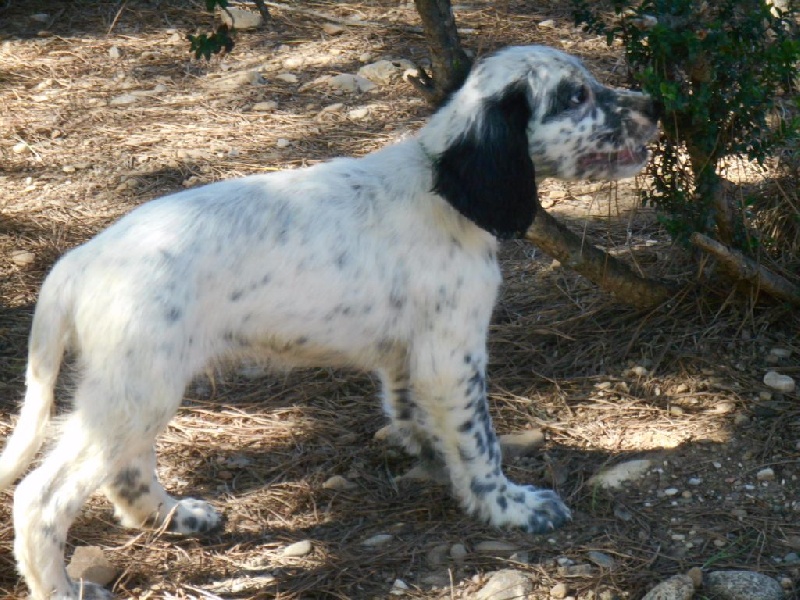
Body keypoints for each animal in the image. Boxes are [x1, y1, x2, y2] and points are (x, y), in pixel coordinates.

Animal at [0, 45, 659, 599]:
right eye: (575, 96)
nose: (654, 108)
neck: (443, 189)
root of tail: (80, 260)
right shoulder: (452, 357)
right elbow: (481, 445)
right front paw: (510, 506)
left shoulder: (408, 358)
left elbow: (413, 414)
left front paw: (426, 457)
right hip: (136, 388)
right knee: (41, 497)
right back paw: (58, 586)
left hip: (137, 387)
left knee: (127, 471)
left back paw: (174, 515)